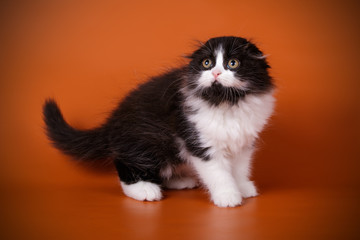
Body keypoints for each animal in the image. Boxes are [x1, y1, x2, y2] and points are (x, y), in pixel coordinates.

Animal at [43, 36, 274, 207]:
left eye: (232, 63)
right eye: (206, 63)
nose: (216, 72)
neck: (226, 103)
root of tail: (113, 120)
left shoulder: (244, 142)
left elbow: (240, 168)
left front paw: (243, 187)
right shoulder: (199, 141)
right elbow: (218, 172)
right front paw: (228, 195)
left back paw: (180, 181)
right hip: (149, 140)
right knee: (126, 163)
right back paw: (143, 189)